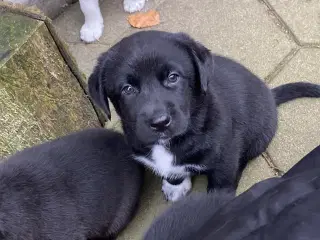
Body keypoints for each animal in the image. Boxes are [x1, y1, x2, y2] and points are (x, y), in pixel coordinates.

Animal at [87, 30, 320, 202]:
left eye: (173, 77)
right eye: (127, 89)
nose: (160, 123)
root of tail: (270, 94)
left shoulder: (226, 156)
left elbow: (221, 185)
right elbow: (171, 172)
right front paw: (175, 185)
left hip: (258, 137)